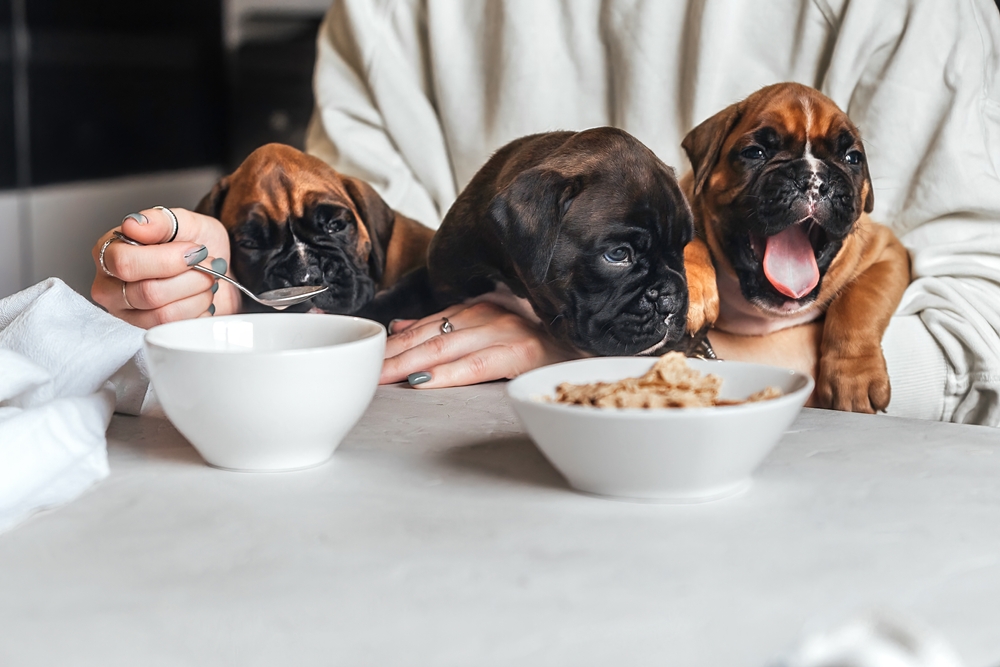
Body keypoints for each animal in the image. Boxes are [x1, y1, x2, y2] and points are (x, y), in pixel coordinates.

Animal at [684, 83, 912, 412]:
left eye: (852, 158)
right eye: (755, 152)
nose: (813, 179)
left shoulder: (886, 251)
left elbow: (859, 302)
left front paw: (854, 376)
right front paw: (693, 290)